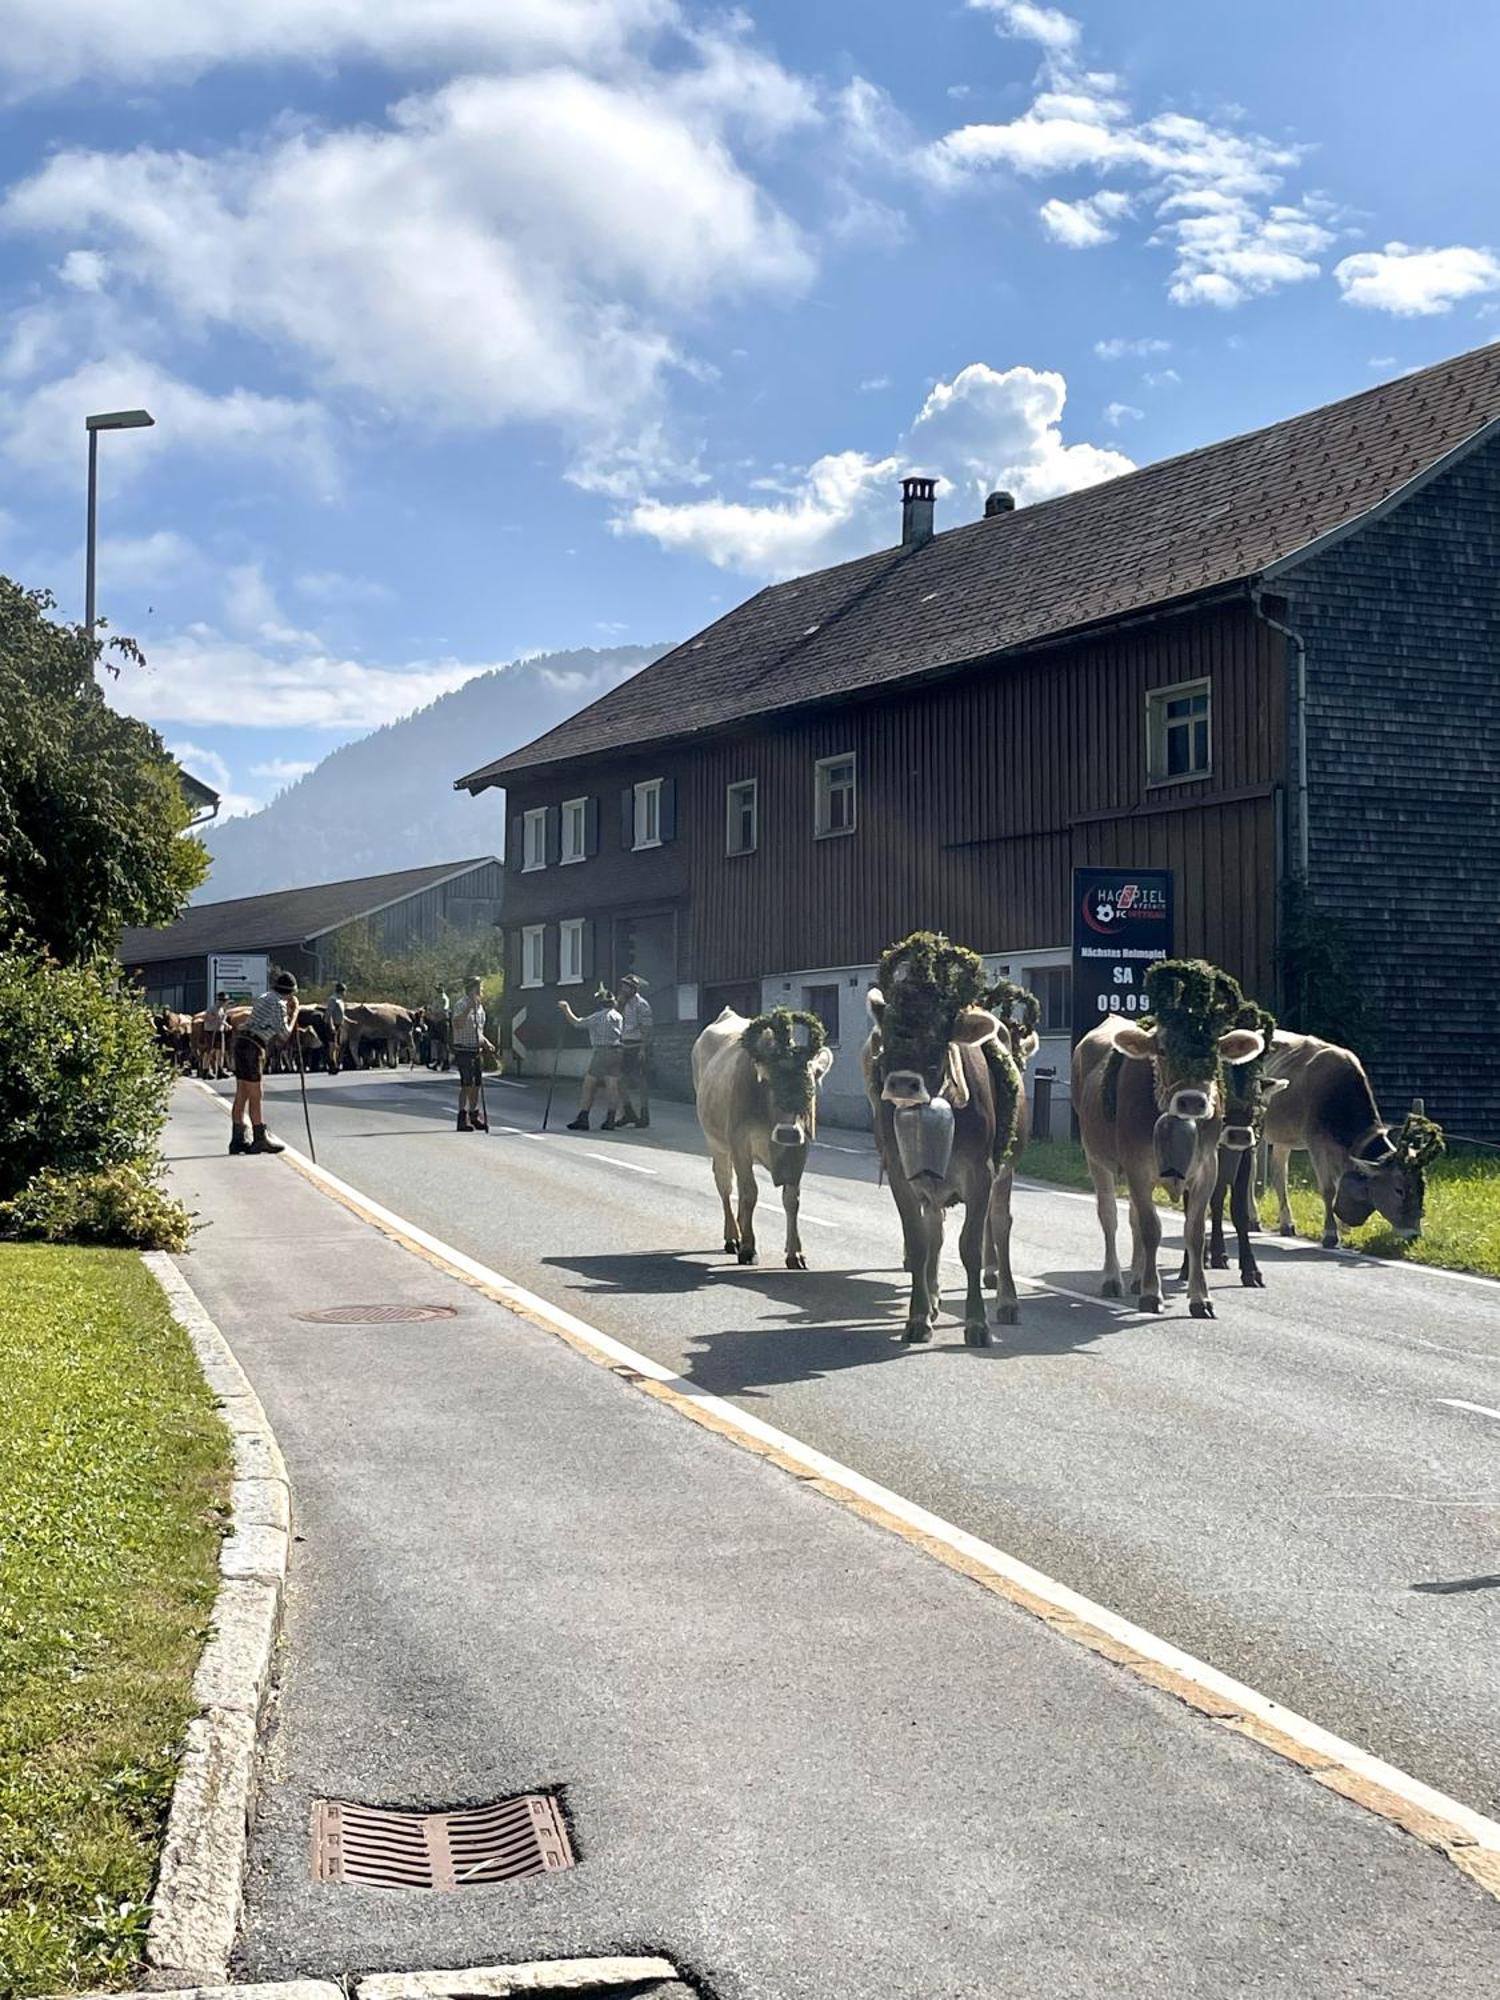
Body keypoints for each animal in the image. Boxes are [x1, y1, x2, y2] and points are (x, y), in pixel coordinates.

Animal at [692, 1008, 836, 1272]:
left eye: (808, 1086)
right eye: (770, 1083)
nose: (788, 1133)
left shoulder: (801, 1148)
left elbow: (791, 1199)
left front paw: (795, 1253)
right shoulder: (740, 1141)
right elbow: (750, 1193)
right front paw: (749, 1248)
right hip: (717, 1142)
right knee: (725, 1185)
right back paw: (733, 1237)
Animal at [864, 932, 1032, 1344]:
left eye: (939, 1035)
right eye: (887, 1036)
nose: (902, 1084)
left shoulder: (981, 1173)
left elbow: (970, 1247)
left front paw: (976, 1323)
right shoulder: (901, 1176)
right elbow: (920, 1244)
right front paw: (917, 1318)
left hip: (1005, 1172)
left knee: (1000, 1224)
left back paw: (1007, 1301)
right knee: (936, 1231)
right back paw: (935, 1298)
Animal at [1072, 960, 1272, 1320]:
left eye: (1214, 1052)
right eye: (1163, 1050)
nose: (1192, 1101)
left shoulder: (1206, 1169)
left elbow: (1194, 1232)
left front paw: (1200, 1298)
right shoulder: (1137, 1167)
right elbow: (1151, 1228)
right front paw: (1153, 1294)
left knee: (1133, 1218)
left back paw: (1137, 1276)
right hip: (1096, 1159)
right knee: (1110, 1216)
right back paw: (1114, 1279)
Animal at [1264, 1040, 1448, 1240]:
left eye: (1422, 1187)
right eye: (1399, 1190)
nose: (1414, 1234)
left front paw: (1344, 1229)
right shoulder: (1316, 1144)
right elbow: (1328, 1189)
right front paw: (1330, 1233)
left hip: (1282, 1138)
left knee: (1279, 1176)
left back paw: (1286, 1224)